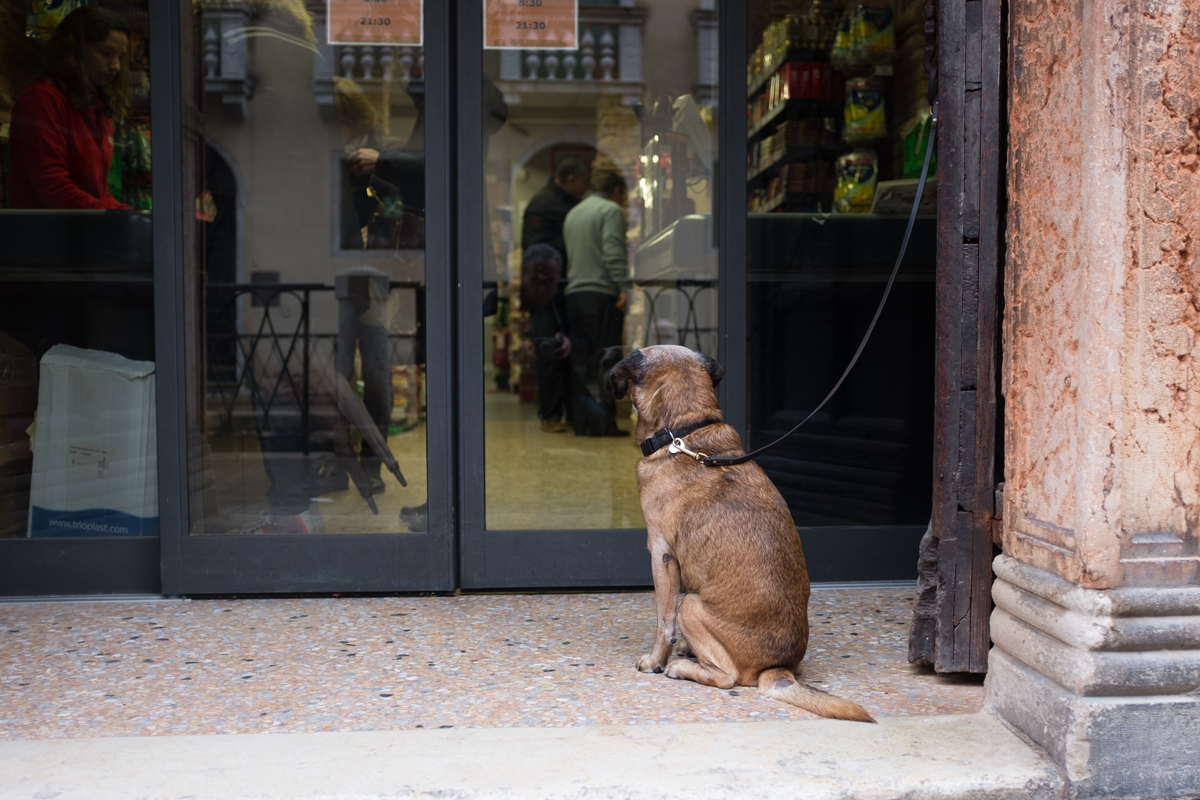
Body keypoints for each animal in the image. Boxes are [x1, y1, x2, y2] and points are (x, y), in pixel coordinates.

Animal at [609, 345, 873, 724]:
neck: (684, 433)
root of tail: (778, 670)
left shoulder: (662, 556)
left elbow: (663, 620)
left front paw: (656, 661)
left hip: (692, 606)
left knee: (726, 676)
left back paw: (681, 668)